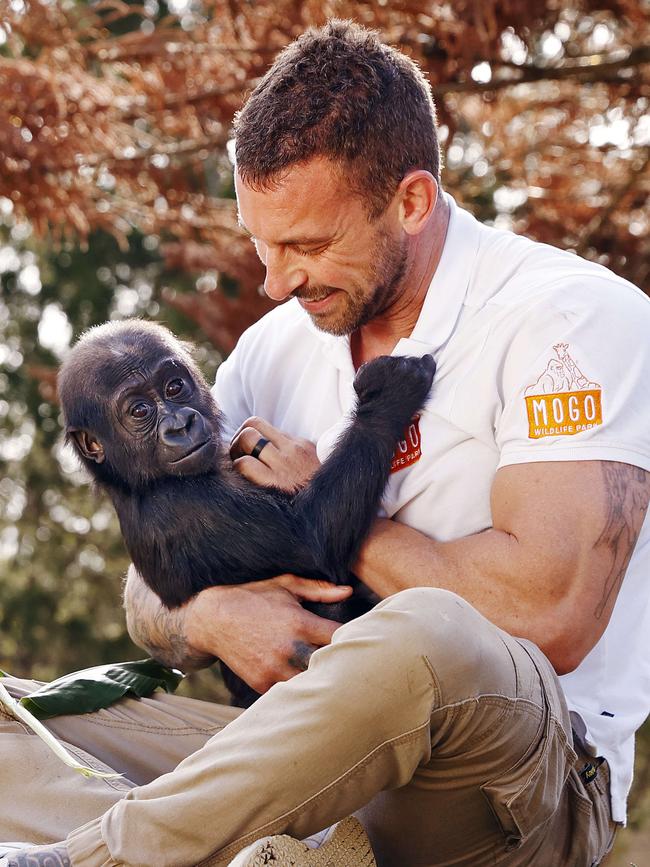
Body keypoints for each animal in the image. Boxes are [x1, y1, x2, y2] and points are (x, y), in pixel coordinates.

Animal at [59, 318, 436, 704]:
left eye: (174, 387)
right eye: (139, 411)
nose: (180, 425)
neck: (134, 483)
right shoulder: (185, 512)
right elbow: (313, 536)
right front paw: (387, 396)